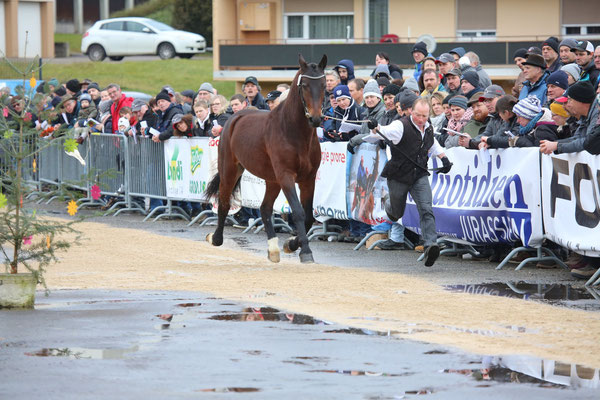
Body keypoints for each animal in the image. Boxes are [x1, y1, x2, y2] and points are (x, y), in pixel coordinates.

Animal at [203, 54, 326, 264]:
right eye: (305, 85)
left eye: (324, 84)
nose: (315, 119)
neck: (293, 132)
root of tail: (235, 117)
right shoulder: (286, 176)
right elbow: (299, 212)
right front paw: (305, 251)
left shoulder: (308, 179)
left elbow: (309, 216)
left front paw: (291, 244)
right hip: (230, 170)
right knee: (225, 203)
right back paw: (216, 238)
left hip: (272, 179)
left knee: (265, 208)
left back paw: (273, 249)